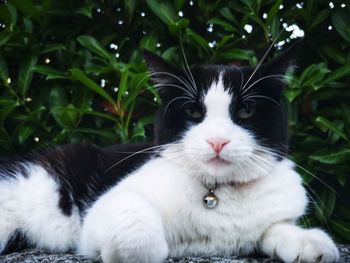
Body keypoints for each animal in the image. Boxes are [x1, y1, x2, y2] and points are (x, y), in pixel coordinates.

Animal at [0, 46, 340, 262]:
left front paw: (308, 241)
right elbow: (137, 232)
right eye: (193, 112)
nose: (217, 141)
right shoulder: (105, 210)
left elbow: (276, 228)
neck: (217, 195)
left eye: (245, 111)